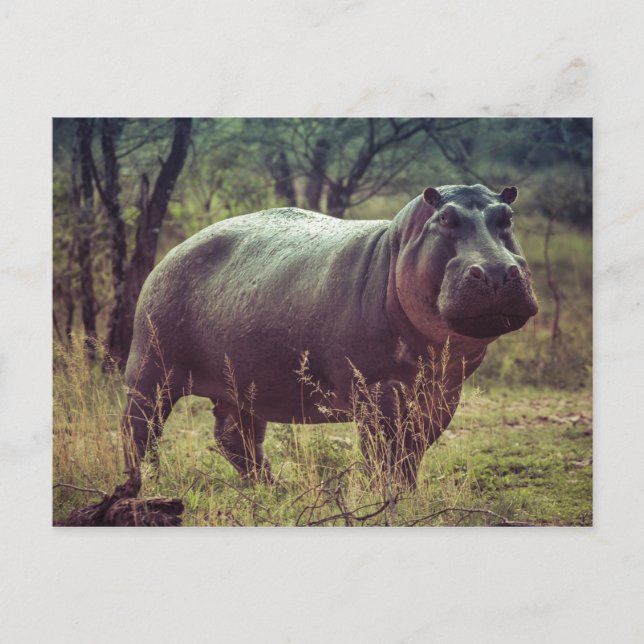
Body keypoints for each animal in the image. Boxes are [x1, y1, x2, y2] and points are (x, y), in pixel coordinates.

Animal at [122, 184, 538, 487]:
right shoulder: (376, 391)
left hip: (241, 386)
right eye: (446, 218)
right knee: (138, 429)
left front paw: (407, 494)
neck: (396, 248)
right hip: (151, 369)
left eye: (508, 217)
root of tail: (176, 248)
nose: (496, 271)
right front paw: (386, 499)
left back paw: (272, 489)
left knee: (236, 438)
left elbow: (411, 453)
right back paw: (144, 485)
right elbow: (383, 453)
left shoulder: (443, 392)